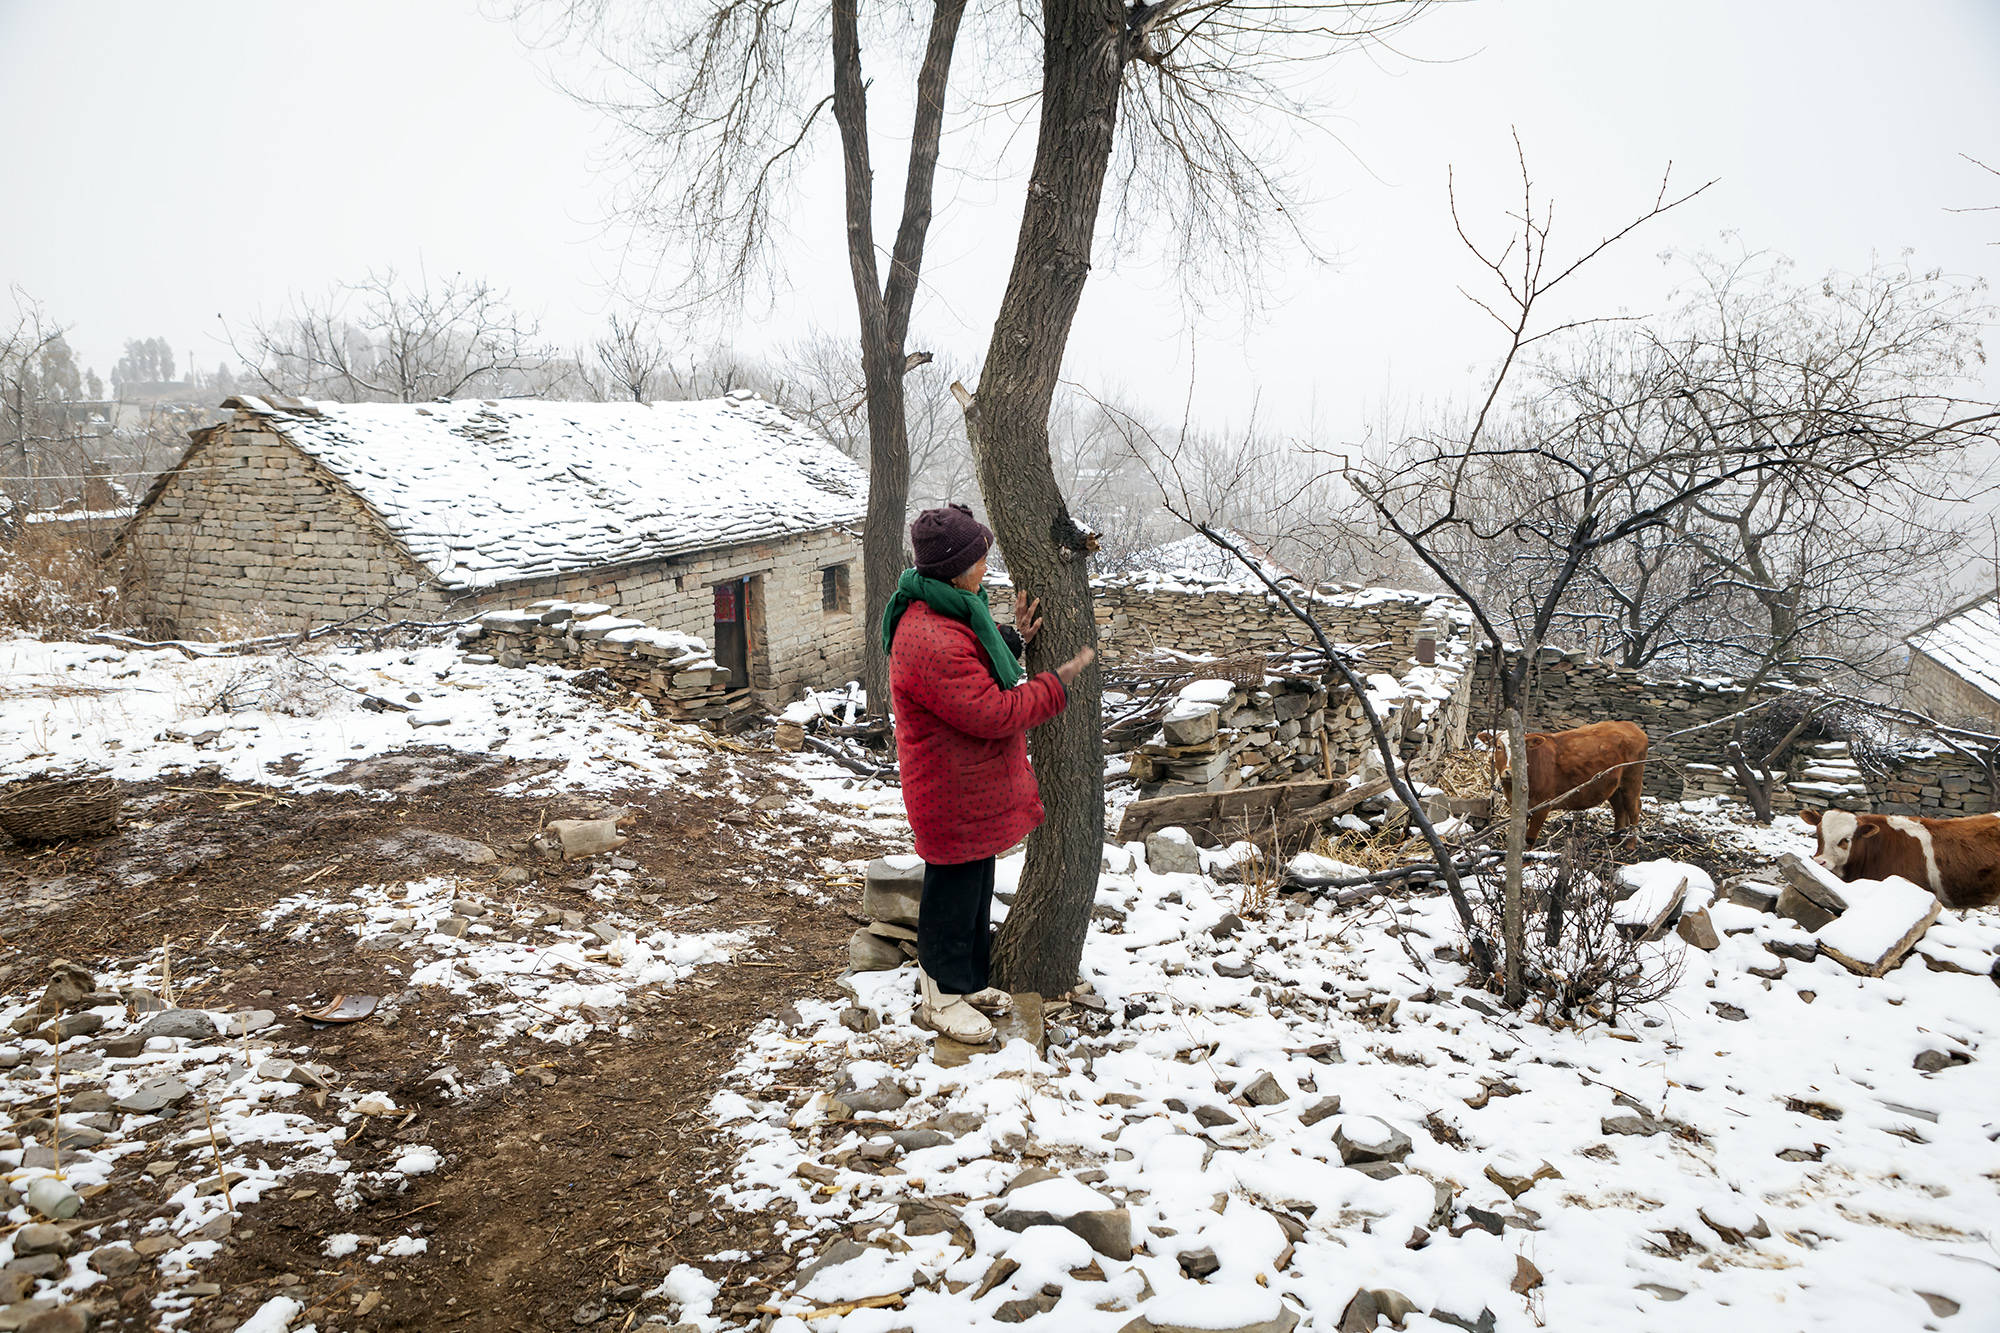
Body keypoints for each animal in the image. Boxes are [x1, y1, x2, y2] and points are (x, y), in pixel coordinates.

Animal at [1480, 716, 1648, 840]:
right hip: (1614, 786)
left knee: (1634, 809)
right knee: (1620, 809)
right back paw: (1615, 841)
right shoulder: (1520, 808)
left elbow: (1529, 838)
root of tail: (1631, 725)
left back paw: (1630, 845)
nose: (1510, 772)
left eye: (1523, 749)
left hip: (1632, 780)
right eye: (1499, 747)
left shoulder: (1543, 806)